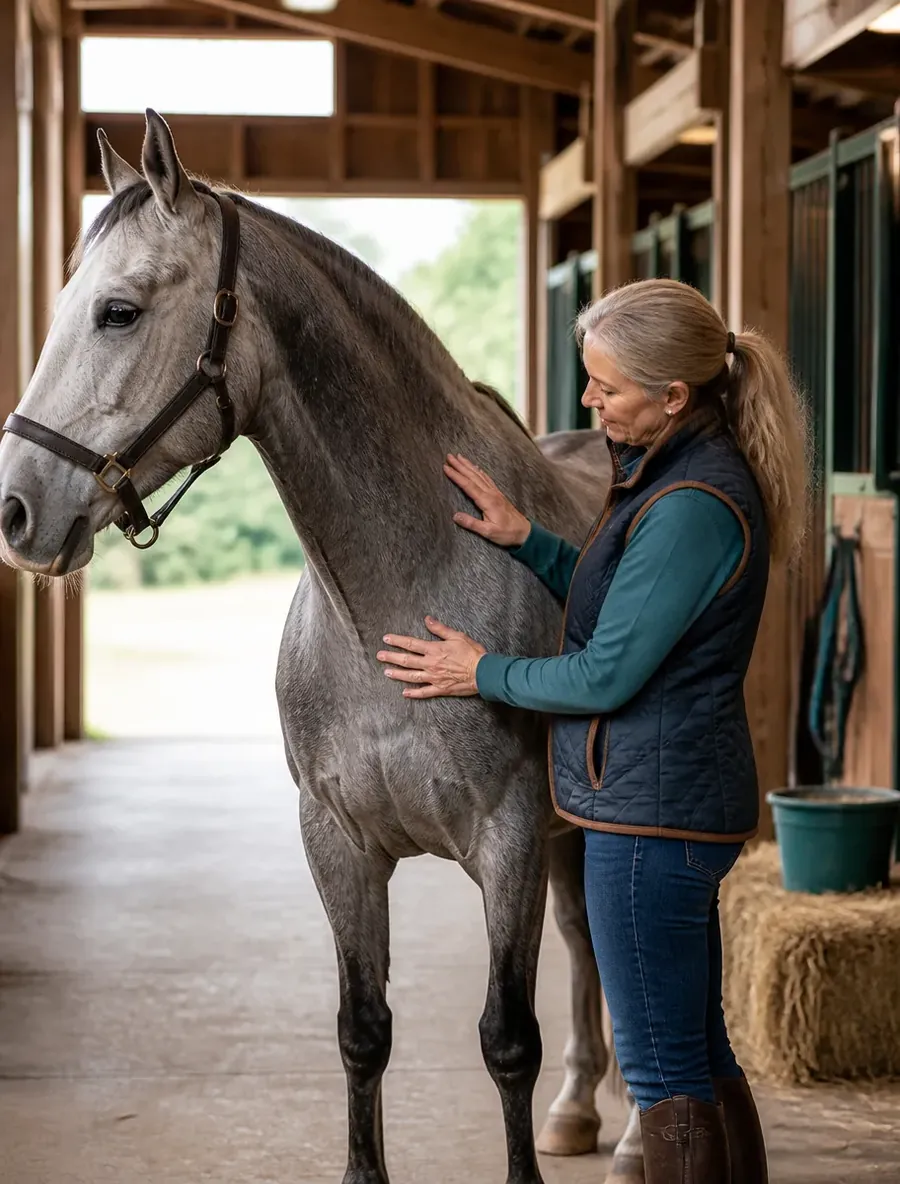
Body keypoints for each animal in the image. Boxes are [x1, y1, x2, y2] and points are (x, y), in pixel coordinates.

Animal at [0, 110, 645, 1184]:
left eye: (119, 313)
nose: (15, 511)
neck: (402, 588)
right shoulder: (337, 843)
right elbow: (362, 1032)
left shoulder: (508, 840)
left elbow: (506, 1039)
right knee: (593, 940)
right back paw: (582, 1112)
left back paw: (637, 1133)